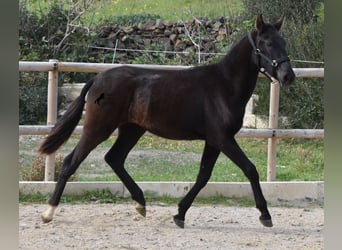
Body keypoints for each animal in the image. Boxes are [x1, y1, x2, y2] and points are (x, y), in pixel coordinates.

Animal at [38, 14, 294, 228]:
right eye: (268, 43)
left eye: (283, 42)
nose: (288, 76)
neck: (224, 85)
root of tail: (96, 80)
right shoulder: (222, 138)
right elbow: (250, 169)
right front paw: (265, 215)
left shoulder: (213, 141)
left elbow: (203, 176)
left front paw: (179, 214)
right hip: (98, 128)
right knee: (71, 162)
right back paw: (48, 212)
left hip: (132, 129)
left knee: (114, 158)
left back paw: (140, 203)